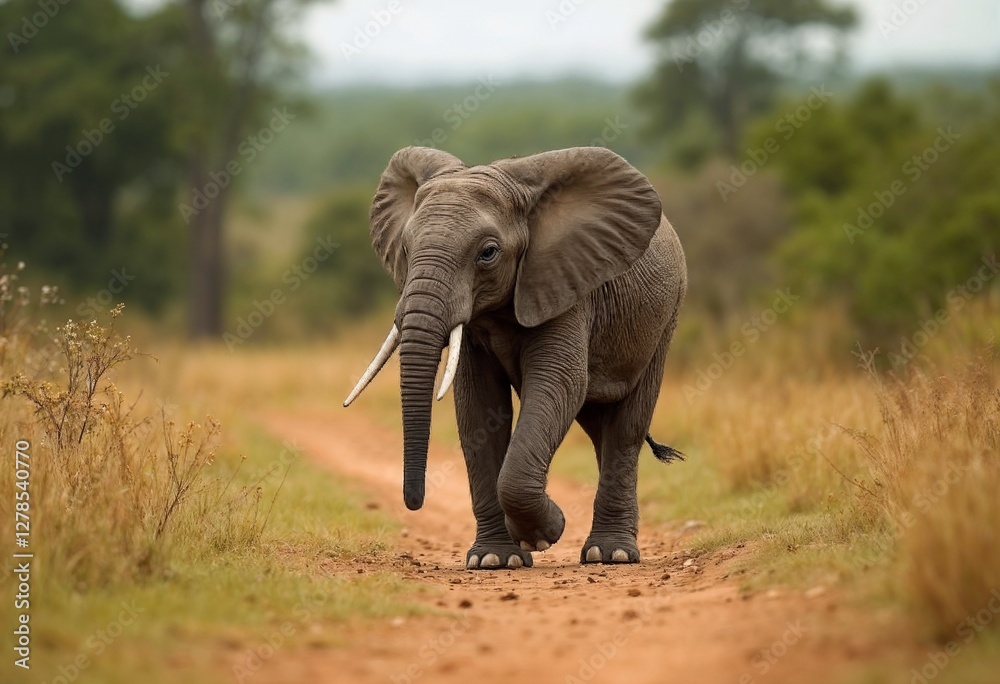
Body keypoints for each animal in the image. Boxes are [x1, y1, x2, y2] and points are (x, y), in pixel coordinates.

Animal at [344, 146, 687, 569]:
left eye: (488, 253)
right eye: (406, 251)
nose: (413, 501)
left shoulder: (566, 284)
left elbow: (559, 383)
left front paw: (547, 531)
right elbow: (479, 407)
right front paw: (494, 559)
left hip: (666, 318)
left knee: (626, 428)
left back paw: (611, 555)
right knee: (599, 427)